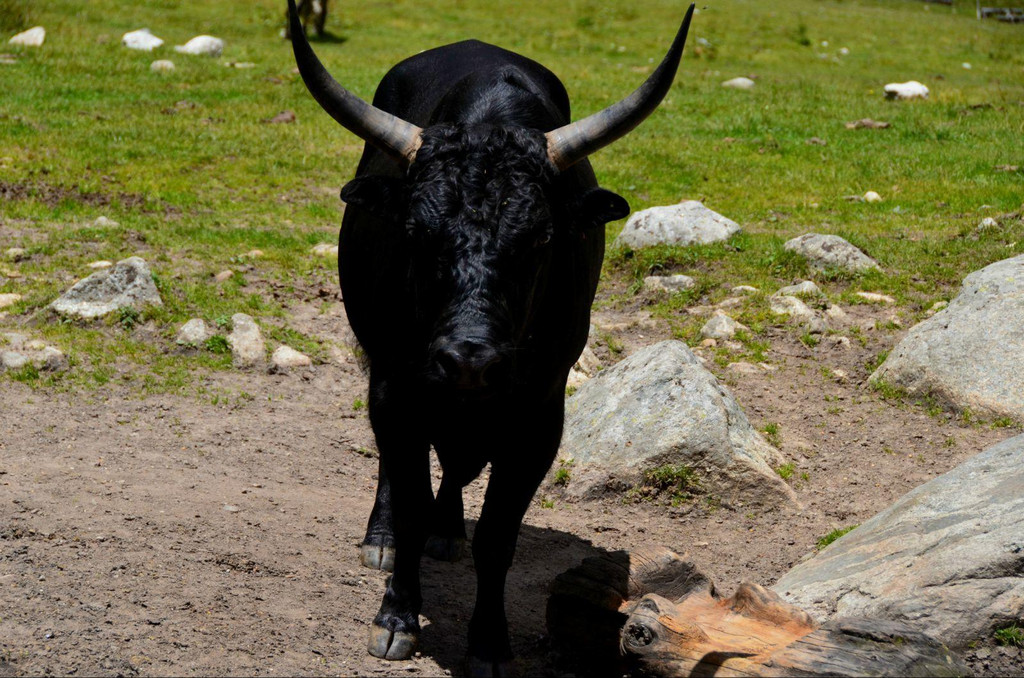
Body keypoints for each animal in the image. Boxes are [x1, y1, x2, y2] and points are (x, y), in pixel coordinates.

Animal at [288, 1, 696, 675]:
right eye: (415, 232)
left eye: (541, 238)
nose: (468, 360)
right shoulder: (397, 389)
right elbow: (408, 490)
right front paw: (396, 618)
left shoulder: (539, 417)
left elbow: (498, 536)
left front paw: (487, 643)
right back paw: (384, 537)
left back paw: (448, 530)